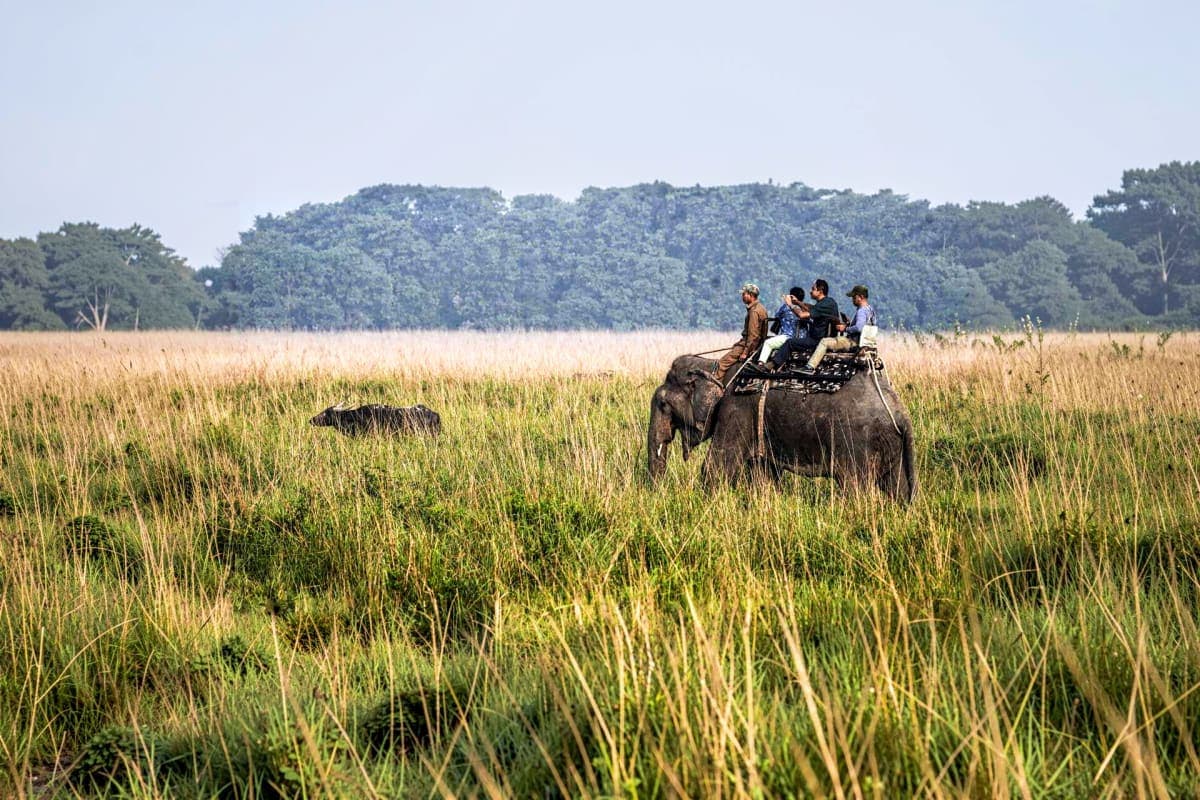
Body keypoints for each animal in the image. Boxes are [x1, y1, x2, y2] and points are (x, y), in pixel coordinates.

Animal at [647, 354, 917, 501]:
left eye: (663, 404)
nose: (658, 495)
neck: (714, 364)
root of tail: (901, 413)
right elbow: (764, 475)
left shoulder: (736, 409)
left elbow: (716, 468)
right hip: (892, 446)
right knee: (898, 489)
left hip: (858, 443)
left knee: (854, 488)